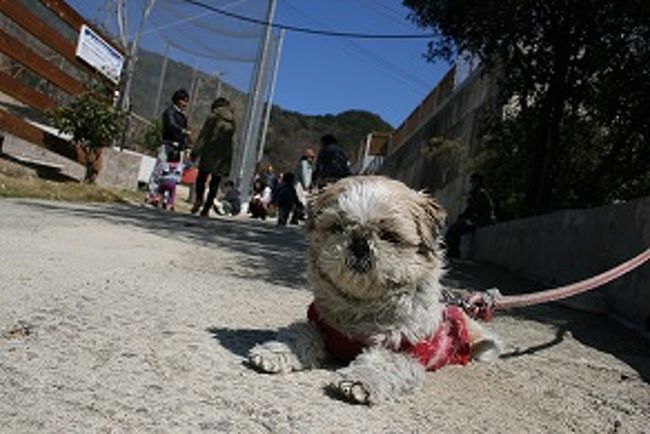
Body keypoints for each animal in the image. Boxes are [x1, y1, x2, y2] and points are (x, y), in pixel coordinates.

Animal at [247, 175, 496, 404]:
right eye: (337, 228)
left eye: (390, 236)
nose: (359, 243)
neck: (361, 307)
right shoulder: (321, 325)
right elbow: (300, 333)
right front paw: (277, 352)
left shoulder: (406, 349)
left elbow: (384, 362)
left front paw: (360, 380)